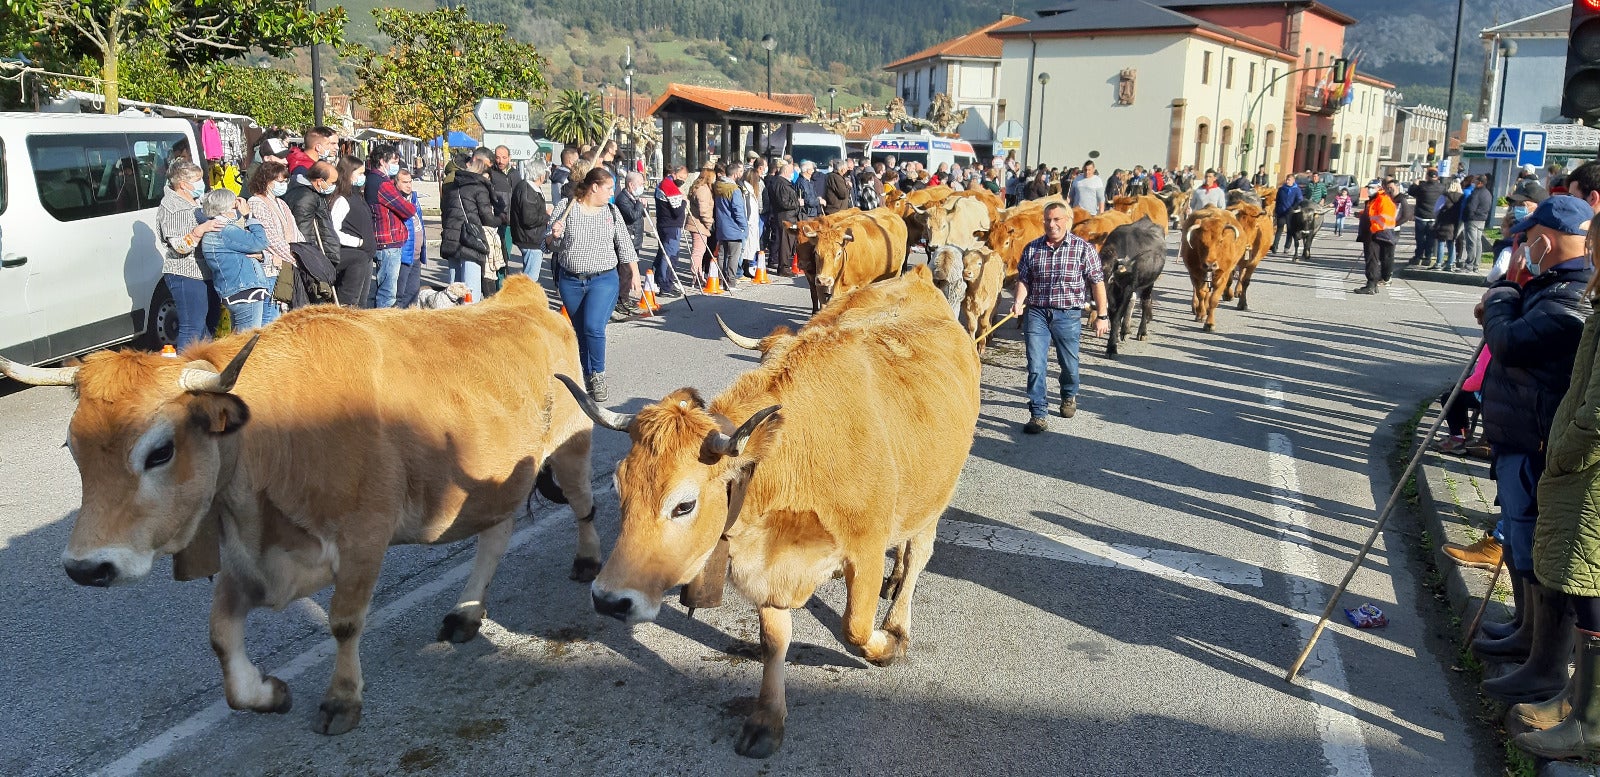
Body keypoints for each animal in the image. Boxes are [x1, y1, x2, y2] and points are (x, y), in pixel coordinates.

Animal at [0, 274, 598, 735]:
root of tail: (522, 295)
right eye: (71, 447)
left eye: (160, 450)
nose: (86, 567)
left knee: (583, 506)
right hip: (495, 482)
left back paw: (587, 561)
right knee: (495, 536)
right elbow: (221, 638)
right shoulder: (246, 558)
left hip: (572, 447)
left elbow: (345, 622)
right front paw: (267, 693)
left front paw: (341, 700)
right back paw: (466, 613)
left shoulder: (364, 538)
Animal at [569, 265, 979, 757]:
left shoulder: (865, 548)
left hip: (937, 493)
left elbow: (856, 629)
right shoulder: (766, 564)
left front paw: (887, 643)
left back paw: (898, 615)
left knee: (918, 555)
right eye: (617, 485)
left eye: (684, 505)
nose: (608, 599)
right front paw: (767, 719)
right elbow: (773, 639)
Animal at [1094, 217, 1171, 359]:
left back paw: (1142, 332)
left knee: (1145, 302)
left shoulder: (1127, 289)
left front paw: (1111, 347)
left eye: (1110, 278)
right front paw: (1116, 337)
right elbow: (1113, 315)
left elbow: (1117, 317)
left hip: (1149, 284)